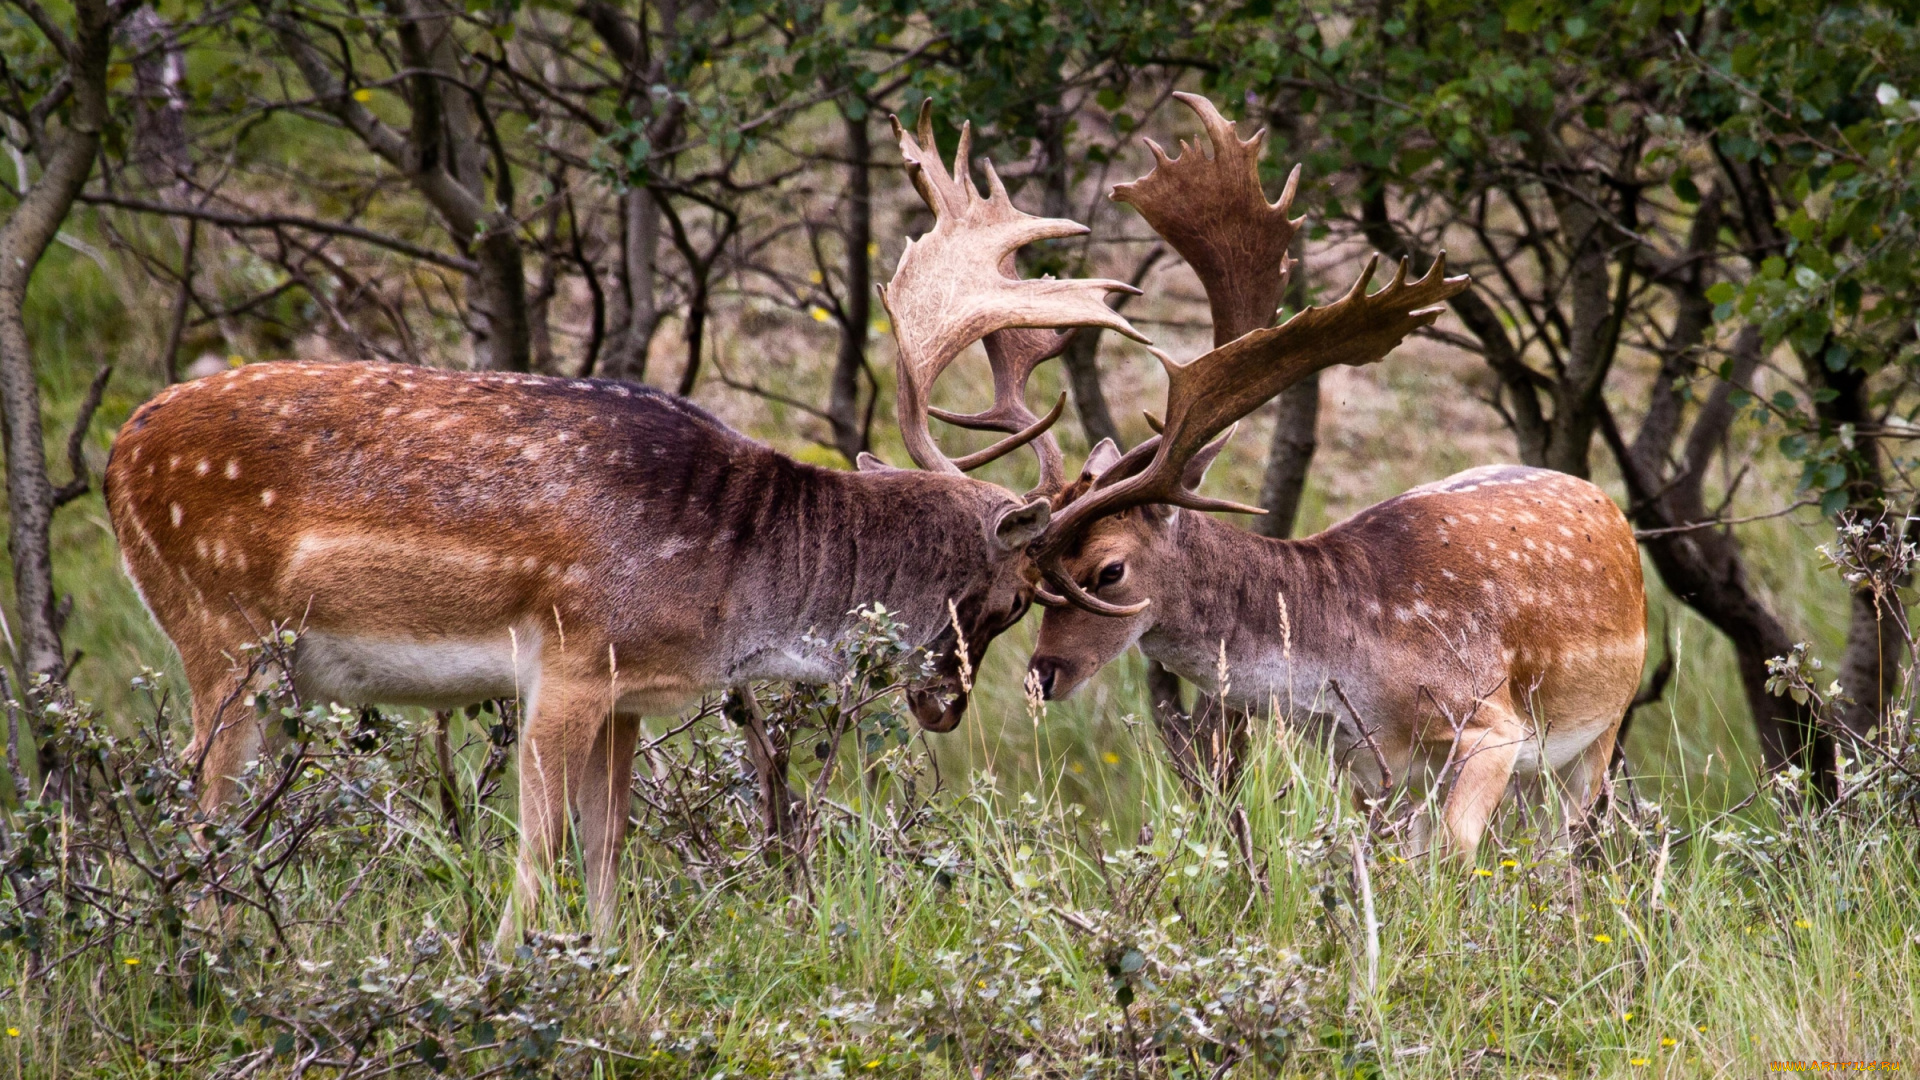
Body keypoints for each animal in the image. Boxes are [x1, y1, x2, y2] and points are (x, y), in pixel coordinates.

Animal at [1021, 92, 1651, 853]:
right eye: (1031, 575)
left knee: (1563, 847)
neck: (1351, 671)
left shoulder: (1489, 721)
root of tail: (1609, 506)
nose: (1041, 676)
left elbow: (1452, 853)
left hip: (1602, 728)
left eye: (1109, 569)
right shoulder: (1365, 764)